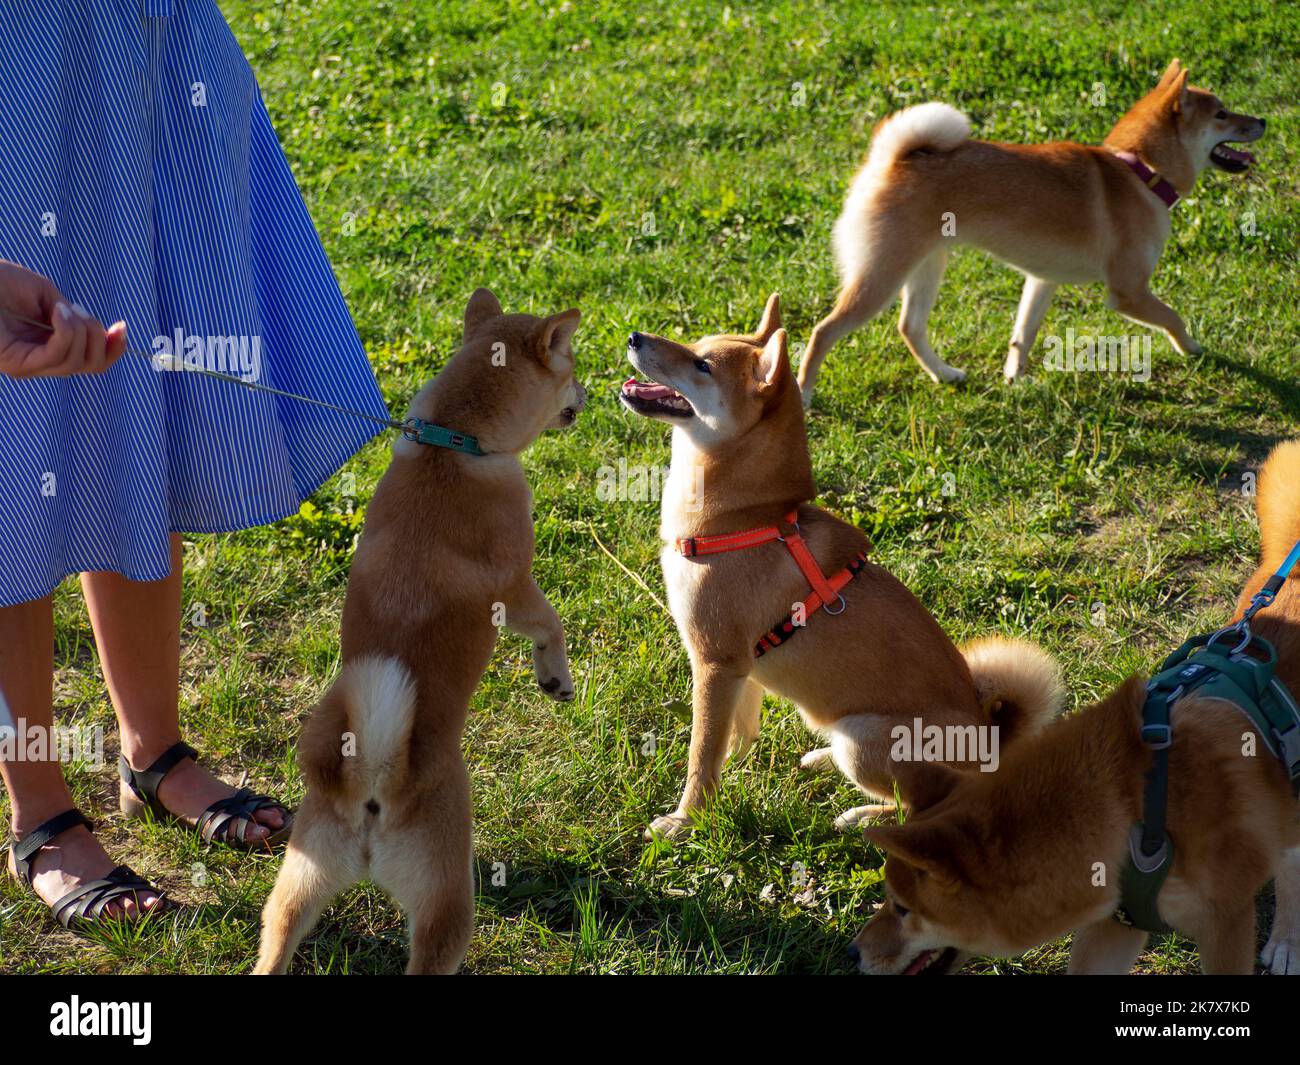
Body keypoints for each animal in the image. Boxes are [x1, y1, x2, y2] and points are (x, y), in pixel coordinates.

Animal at [252, 291, 585, 972]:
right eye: (570, 369)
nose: (588, 396)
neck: (454, 444)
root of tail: (372, 782)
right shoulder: (517, 590)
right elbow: (550, 624)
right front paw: (555, 677)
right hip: (445, 907)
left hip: (299, 883)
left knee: (276, 941)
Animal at [621, 297, 1066, 842]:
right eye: (696, 343)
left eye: (702, 365)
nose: (635, 337)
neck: (746, 517)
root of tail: (990, 748)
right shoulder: (738, 668)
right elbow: (734, 735)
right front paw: (734, 772)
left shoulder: (714, 662)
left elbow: (701, 755)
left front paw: (686, 819)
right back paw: (822, 757)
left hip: (866, 736)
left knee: (922, 807)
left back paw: (861, 816)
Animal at [800, 62, 1258, 403]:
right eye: (1221, 113)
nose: (1262, 121)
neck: (1140, 171)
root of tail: (893, 159)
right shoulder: (1129, 292)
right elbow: (1173, 317)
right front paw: (1193, 349)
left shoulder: (1041, 280)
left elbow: (1023, 336)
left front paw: (1014, 380)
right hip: (882, 274)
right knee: (824, 331)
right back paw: (803, 395)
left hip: (927, 265)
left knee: (909, 328)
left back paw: (945, 374)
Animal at [847, 439, 1300, 972]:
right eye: (884, 898)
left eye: (903, 908)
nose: (853, 951)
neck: (1138, 816)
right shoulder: (1115, 922)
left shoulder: (1225, 922)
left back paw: (1288, 941)